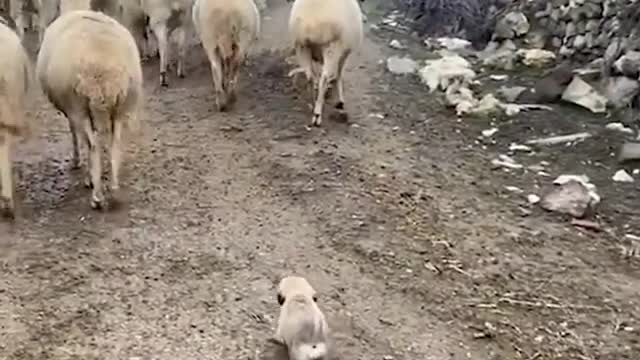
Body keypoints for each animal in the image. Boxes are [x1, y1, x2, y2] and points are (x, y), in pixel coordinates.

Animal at [37, 9, 144, 210]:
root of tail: (105, 72)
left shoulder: (71, 110)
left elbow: (76, 136)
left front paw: (79, 165)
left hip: (80, 107)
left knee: (93, 145)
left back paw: (97, 196)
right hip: (121, 107)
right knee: (114, 143)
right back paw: (114, 190)